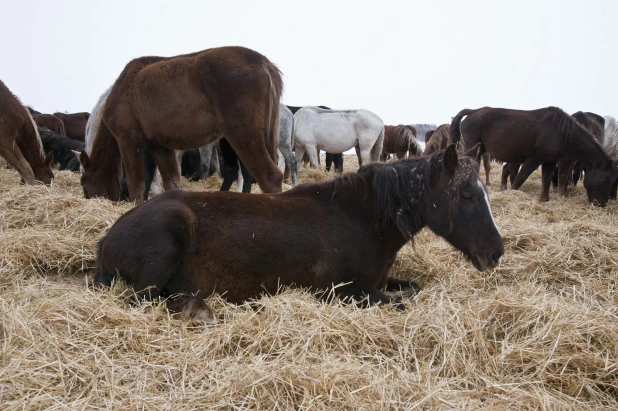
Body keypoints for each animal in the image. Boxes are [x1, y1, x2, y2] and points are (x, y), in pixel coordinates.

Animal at [75, 45, 284, 204]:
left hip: (242, 136)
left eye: (84, 181)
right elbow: (172, 184)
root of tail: (263, 63)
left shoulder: (128, 141)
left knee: (269, 177)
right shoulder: (160, 147)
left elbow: (137, 184)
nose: (87, 197)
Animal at [92, 146, 506, 322]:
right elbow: (398, 304)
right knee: (145, 302)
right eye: (467, 195)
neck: (360, 218)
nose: (496, 252)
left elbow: (412, 289)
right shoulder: (343, 291)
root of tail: (107, 239)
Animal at [450, 106, 612, 206]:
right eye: (606, 180)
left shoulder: (550, 161)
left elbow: (546, 180)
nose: (602, 204)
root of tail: (473, 111)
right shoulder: (534, 159)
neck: (562, 131)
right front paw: (512, 194)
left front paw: (544, 199)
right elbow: (520, 178)